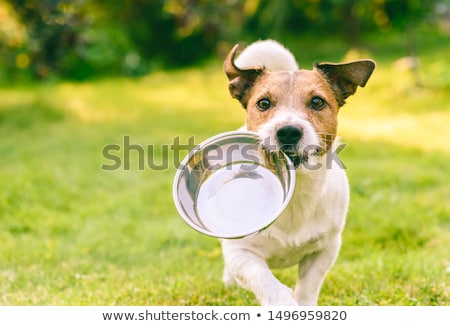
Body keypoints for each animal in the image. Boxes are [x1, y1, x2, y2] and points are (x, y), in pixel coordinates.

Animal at [220, 38, 374, 306]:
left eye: (317, 102)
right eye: (263, 104)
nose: (288, 132)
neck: (295, 189)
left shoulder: (325, 249)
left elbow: (308, 287)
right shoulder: (241, 253)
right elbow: (265, 281)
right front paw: (282, 302)